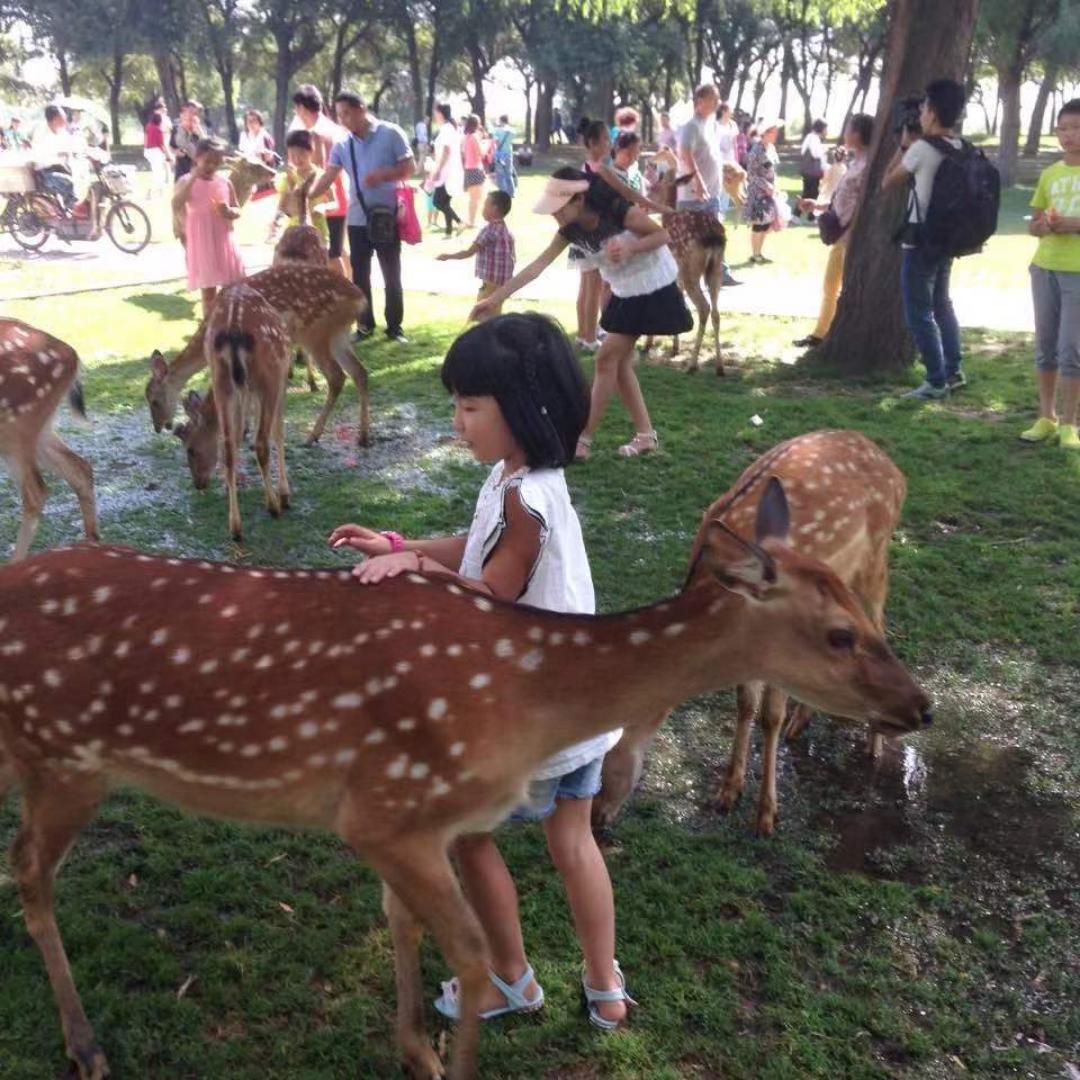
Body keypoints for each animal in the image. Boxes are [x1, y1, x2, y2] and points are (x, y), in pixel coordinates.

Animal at [146, 267, 371, 449]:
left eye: (154, 400)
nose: (158, 427)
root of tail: (359, 298)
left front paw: (246, 431)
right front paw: (248, 431)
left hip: (315, 332)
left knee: (337, 376)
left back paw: (312, 436)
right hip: (338, 334)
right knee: (359, 372)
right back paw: (363, 436)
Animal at [173, 285, 293, 540]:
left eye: (190, 449)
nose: (198, 484)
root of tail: (232, 332)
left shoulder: (245, 392)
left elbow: (239, 435)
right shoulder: (279, 379)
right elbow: (278, 432)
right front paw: (284, 493)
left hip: (223, 382)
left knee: (228, 447)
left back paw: (235, 527)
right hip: (268, 377)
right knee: (262, 442)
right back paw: (274, 506)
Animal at [596, 429, 915, 833]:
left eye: (600, 773)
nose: (596, 819)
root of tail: (895, 469)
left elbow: (769, 715)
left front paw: (766, 813)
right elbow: (745, 704)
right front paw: (728, 790)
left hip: (875, 563)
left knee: (880, 625)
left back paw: (874, 745)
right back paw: (802, 720)